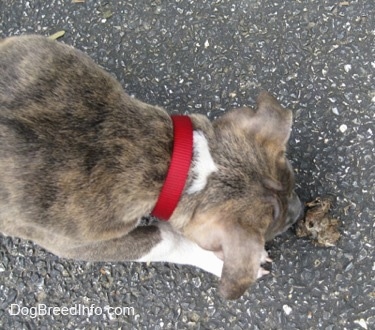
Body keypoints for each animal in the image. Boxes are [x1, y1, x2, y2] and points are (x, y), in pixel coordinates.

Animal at [0, 35, 304, 300]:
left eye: (291, 183)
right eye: (271, 227)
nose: (299, 211)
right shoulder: (77, 242)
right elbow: (165, 240)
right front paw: (217, 261)